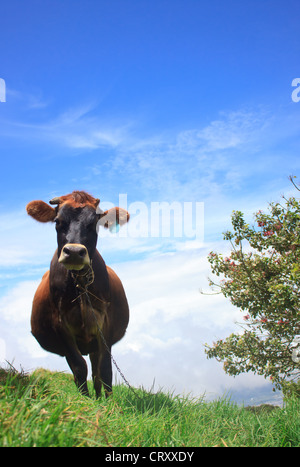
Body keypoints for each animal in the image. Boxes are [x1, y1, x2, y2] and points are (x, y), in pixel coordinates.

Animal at [27, 190, 131, 398]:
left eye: (95, 222)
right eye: (58, 221)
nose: (74, 252)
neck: (80, 282)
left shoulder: (104, 321)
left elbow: (105, 369)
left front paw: (109, 403)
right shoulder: (60, 323)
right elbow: (79, 368)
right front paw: (85, 400)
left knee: (96, 371)